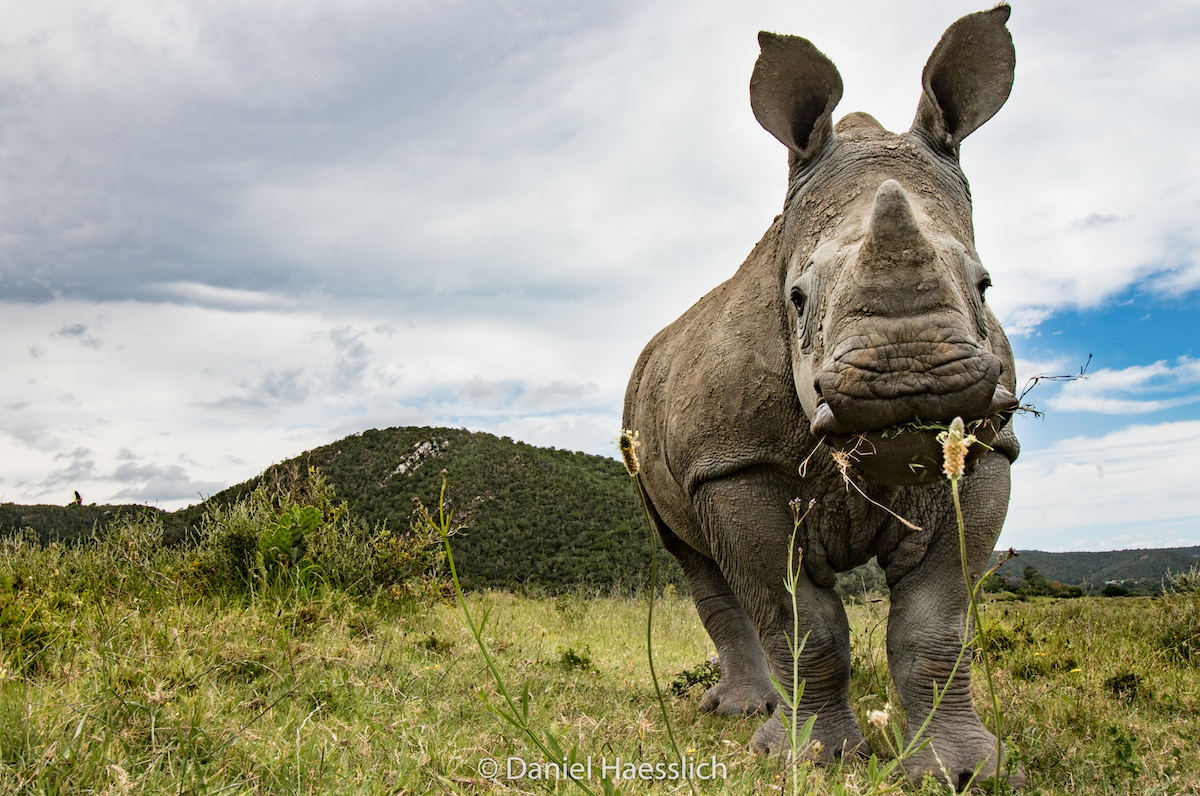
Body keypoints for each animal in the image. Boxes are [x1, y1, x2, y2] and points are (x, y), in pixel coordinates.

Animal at [624, 4, 1027, 792]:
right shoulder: (735, 463)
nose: (911, 381)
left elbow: (938, 626)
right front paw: (808, 758)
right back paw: (745, 715)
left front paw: (959, 770)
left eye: (985, 284)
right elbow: (802, 625)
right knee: (700, 565)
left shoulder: (990, 447)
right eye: (798, 297)